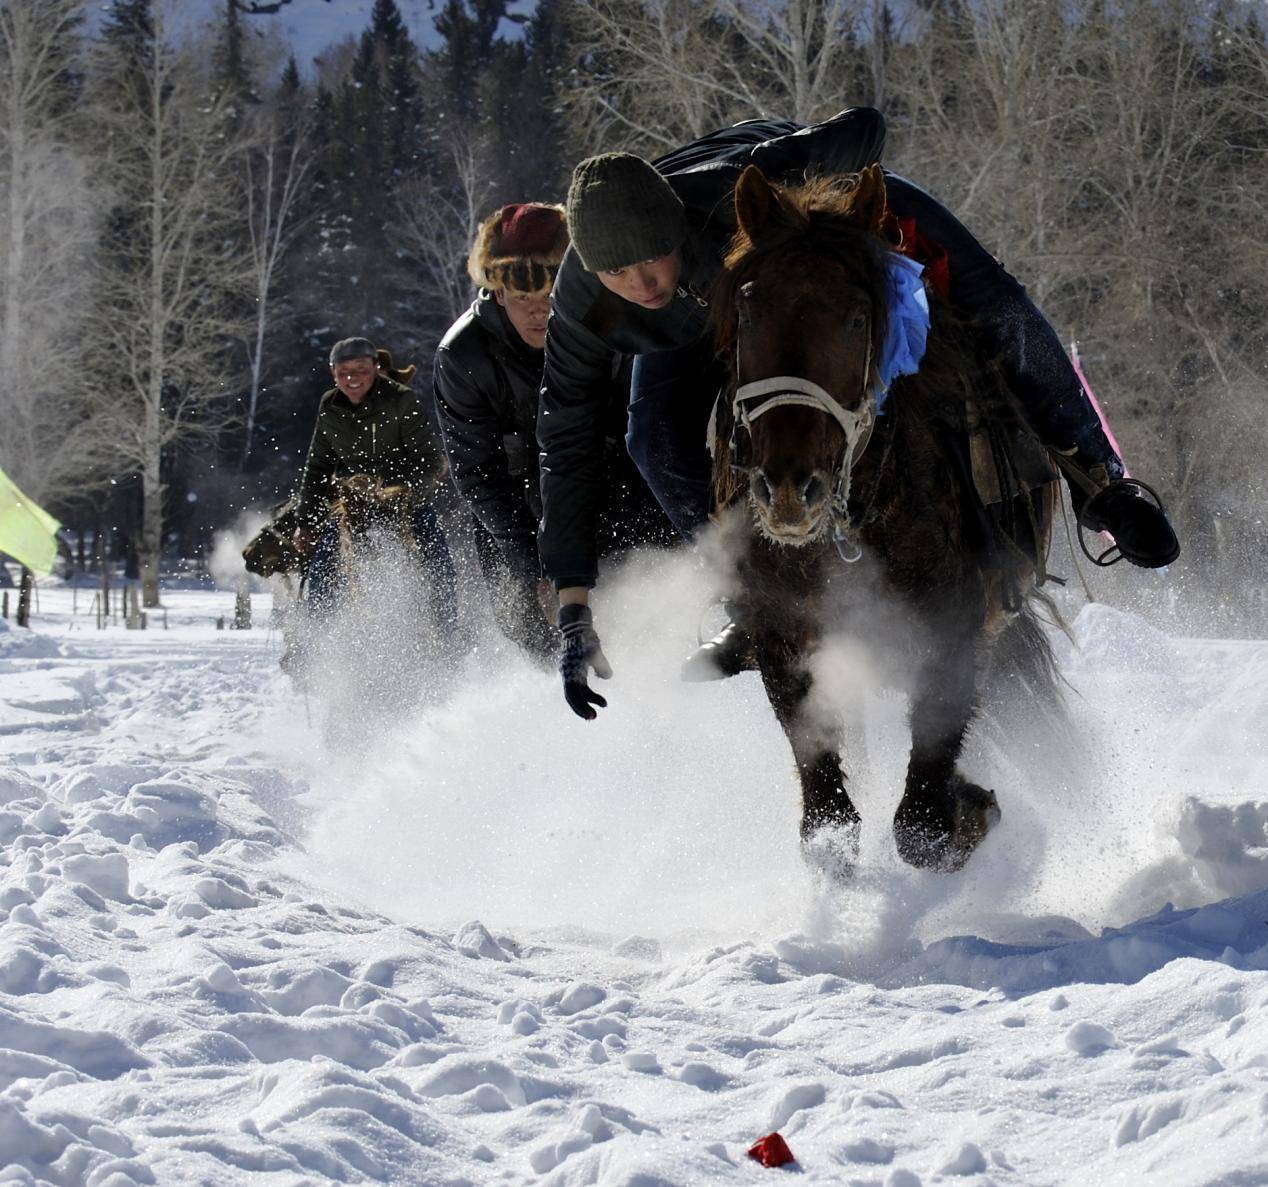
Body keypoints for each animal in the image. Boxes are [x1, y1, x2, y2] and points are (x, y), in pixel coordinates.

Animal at [715, 164, 1060, 872]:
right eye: (748, 309)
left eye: (855, 317)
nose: (788, 488)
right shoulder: (782, 631)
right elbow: (826, 816)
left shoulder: (953, 621)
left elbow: (923, 823)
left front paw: (968, 811)